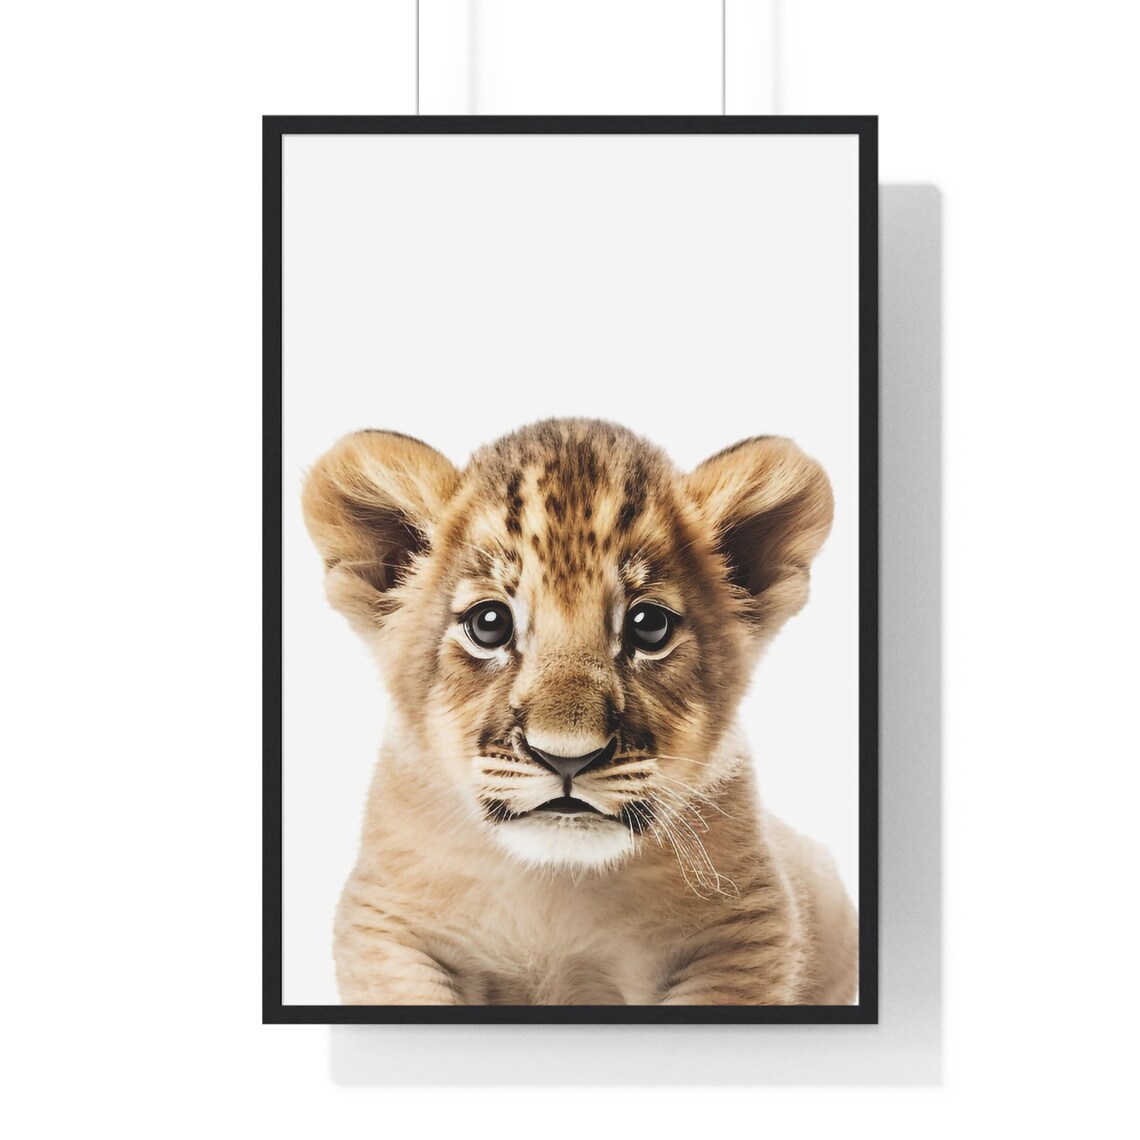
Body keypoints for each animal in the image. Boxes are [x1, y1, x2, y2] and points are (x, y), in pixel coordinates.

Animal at [302, 418, 857, 1005]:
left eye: (649, 626)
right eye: (489, 624)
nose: (566, 758)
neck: (556, 886)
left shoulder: (745, 934)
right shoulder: (386, 925)